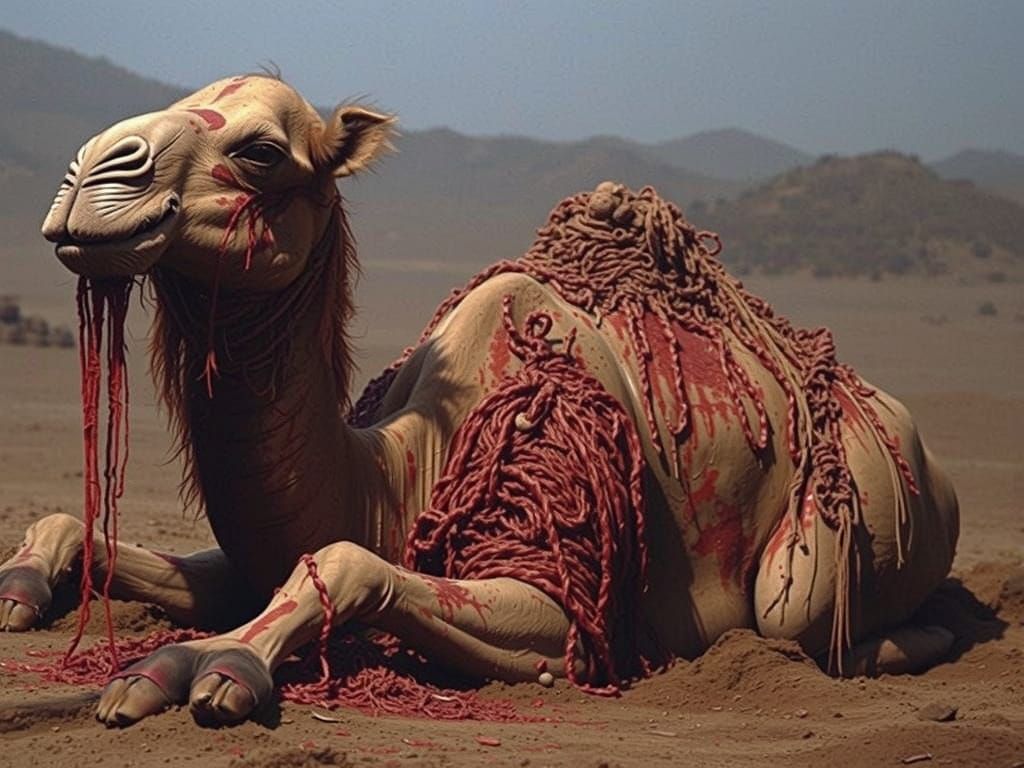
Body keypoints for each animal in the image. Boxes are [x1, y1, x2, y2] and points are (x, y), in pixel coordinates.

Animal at [0, 75, 959, 728]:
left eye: (261, 149)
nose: (90, 173)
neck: (395, 478)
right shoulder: (257, 553)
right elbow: (100, 533)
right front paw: (28, 589)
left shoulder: (567, 596)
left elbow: (346, 564)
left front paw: (204, 664)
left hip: (859, 507)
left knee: (806, 613)